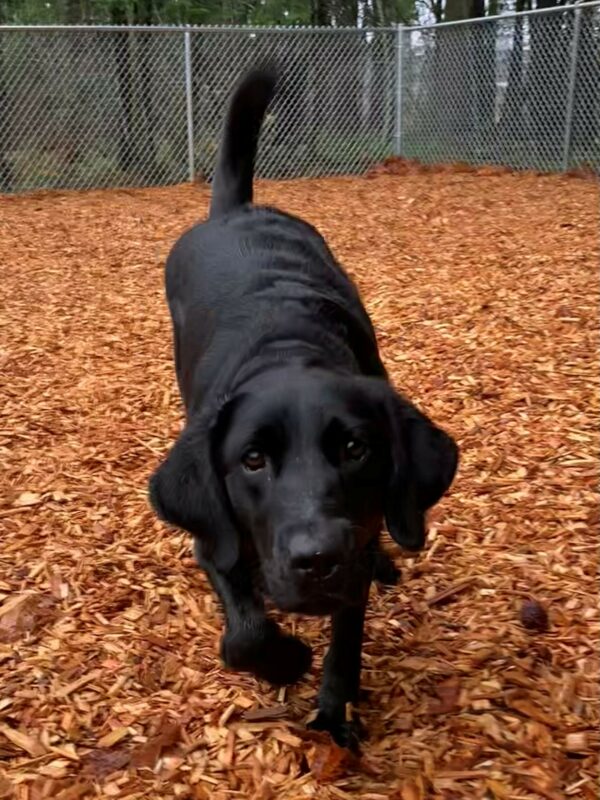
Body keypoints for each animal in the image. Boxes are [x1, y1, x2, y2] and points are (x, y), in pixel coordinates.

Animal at [150, 65, 460, 748]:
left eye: (354, 448)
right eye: (253, 460)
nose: (316, 559)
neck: (286, 349)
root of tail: (238, 210)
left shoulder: (357, 541)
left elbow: (347, 633)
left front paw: (335, 707)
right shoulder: (213, 536)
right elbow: (243, 635)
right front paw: (287, 659)